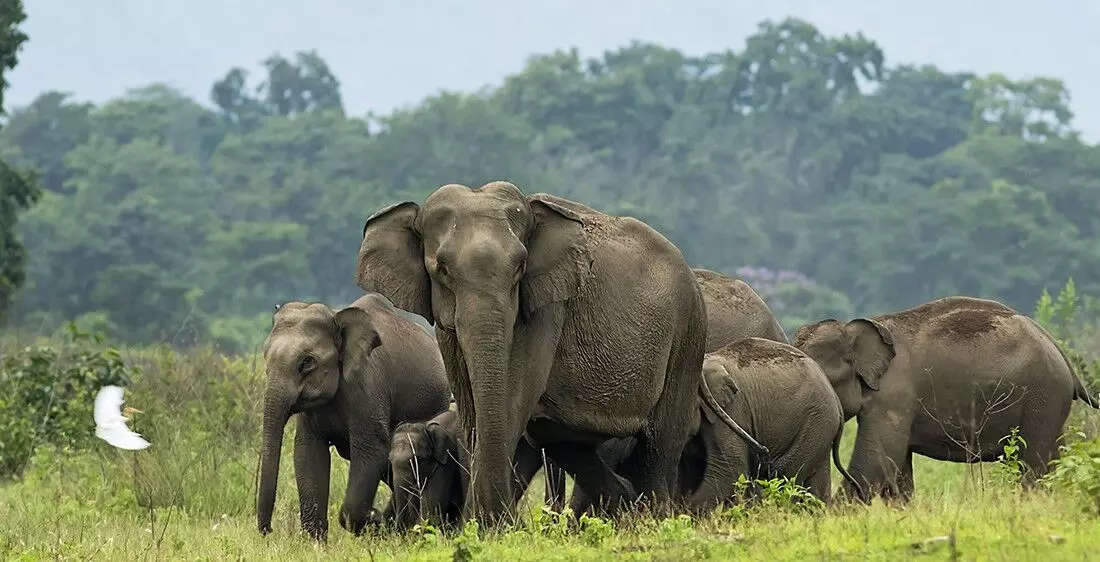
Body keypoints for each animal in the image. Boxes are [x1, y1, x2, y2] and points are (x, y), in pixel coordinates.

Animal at [255, 292, 448, 538]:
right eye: (266, 358)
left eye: (307, 363)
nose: (268, 530)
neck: (335, 316)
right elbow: (308, 452)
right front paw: (315, 542)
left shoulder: (368, 388)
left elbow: (371, 451)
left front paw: (373, 519)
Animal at [385, 409, 567, 532]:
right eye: (390, 460)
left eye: (419, 460)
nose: (397, 532)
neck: (425, 425)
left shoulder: (446, 461)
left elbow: (432, 506)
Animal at [567, 338, 858, 514]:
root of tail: (836, 403)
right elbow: (691, 473)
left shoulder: (731, 412)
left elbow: (728, 469)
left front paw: (683, 516)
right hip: (818, 427)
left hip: (814, 422)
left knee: (785, 475)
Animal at [792, 294, 1100, 501]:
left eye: (825, 378)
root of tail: (1060, 351)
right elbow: (898, 469)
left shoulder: (893, 394)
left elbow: (876, 461)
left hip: (1044, 398)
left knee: (1033, 464)